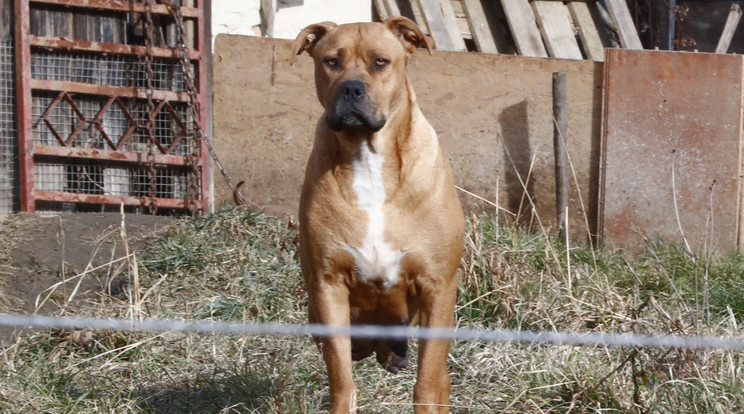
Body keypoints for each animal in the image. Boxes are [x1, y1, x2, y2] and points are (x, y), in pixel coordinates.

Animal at [292, 17, 462, 414]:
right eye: (331, 62)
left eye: (380, 62)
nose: (352, 88)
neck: (367, 155)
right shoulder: (329, 287)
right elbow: (342, 381)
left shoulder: (438, 287)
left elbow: (428, 383)